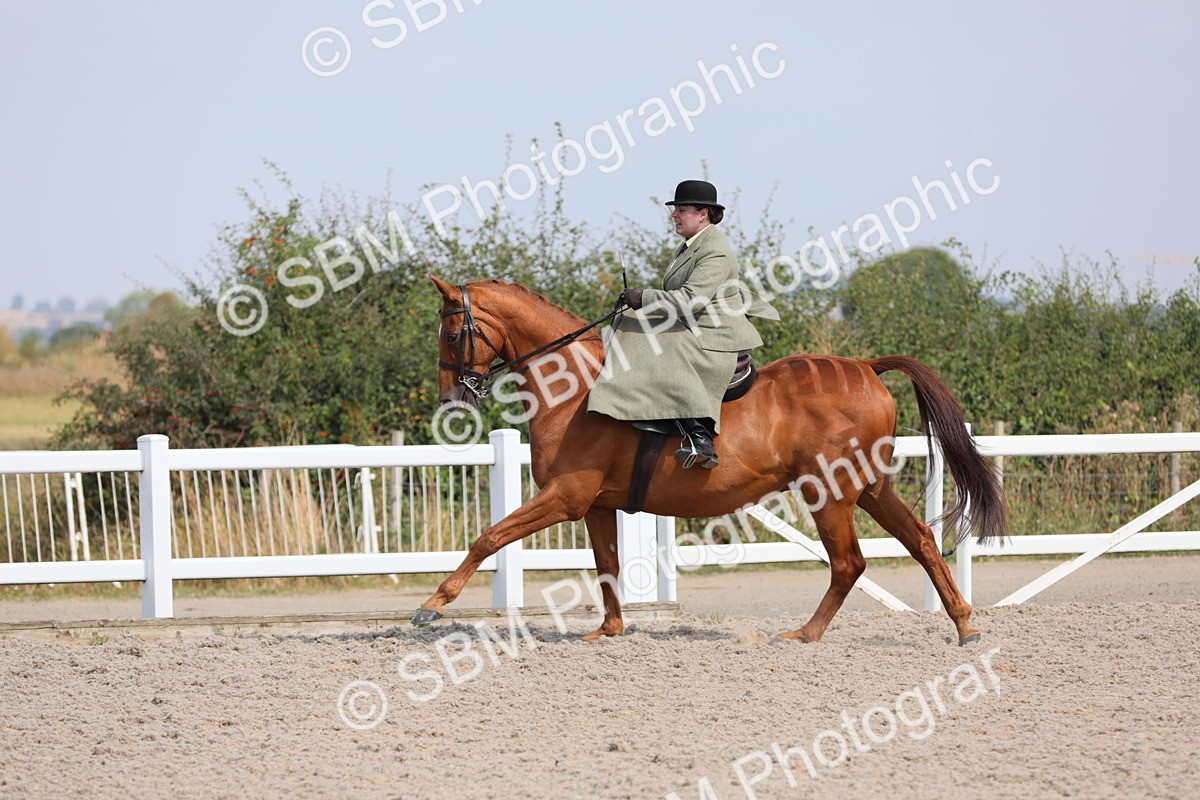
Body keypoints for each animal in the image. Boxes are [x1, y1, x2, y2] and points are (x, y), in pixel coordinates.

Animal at [412, 276, 1007, 645]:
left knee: (849, 563)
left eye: (451, 331)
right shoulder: (596, 505)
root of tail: (865, 366)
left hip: (831, 491)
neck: (574, 387)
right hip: (869, 487)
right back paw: (964, 625)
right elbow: (607, 566)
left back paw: (804, 635)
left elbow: (489, 537)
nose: (451, 400)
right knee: (920, 541)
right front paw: (608, 632)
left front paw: (432, 605)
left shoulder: (565, 497)